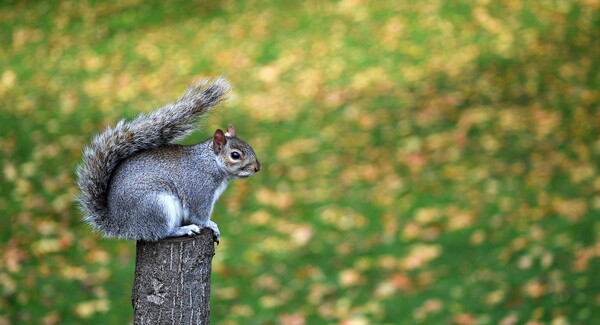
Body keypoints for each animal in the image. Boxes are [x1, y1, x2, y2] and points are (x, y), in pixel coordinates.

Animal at [75, 77, 260, 242]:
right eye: (235, 155)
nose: (257, 168)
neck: (211, 162)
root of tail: (121, 224)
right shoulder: (199, 188)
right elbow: (199, 214)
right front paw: (211, 224)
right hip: (157, 206)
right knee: (159, 233)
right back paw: (182, 230)